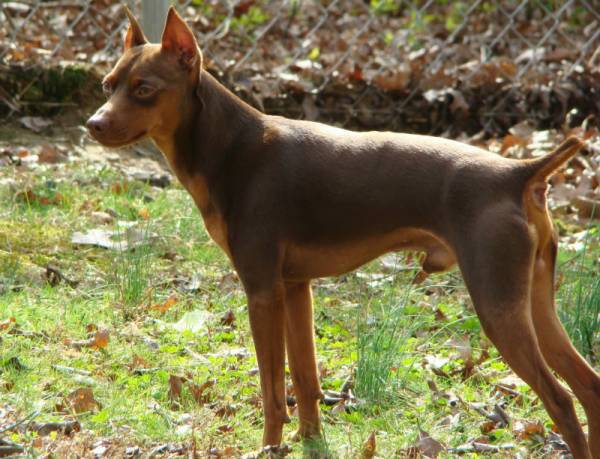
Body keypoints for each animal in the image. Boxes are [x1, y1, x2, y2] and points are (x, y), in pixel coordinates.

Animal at [86, 8, 596, 459]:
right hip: (535, 304)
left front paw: (268, 447)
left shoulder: (262, 292)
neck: (231, 146)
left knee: (561, 400)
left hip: (497, 307)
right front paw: (309, 442)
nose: (93, 124)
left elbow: (272, 389)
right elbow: (305, 381)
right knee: (588, 386)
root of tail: (518, 173)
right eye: (108, 86)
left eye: (144, 89)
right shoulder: (295, 288)